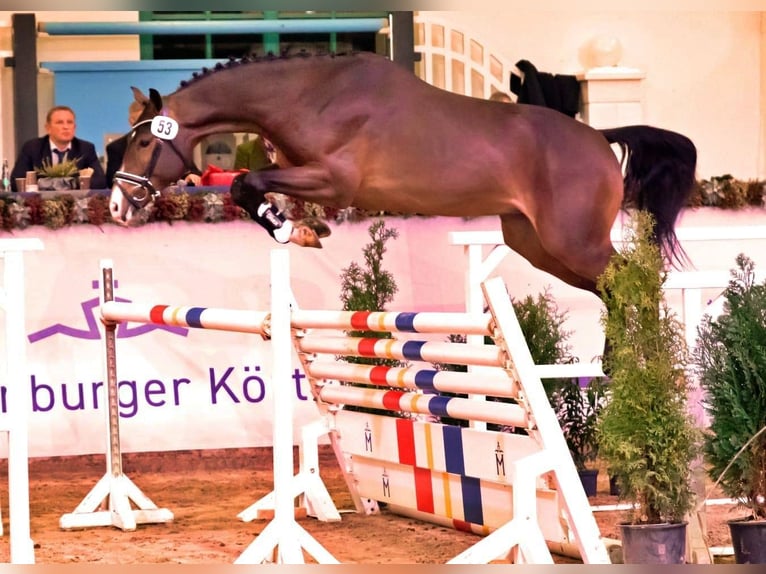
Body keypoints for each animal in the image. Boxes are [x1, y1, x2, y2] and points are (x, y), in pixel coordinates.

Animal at [111, 51, 700, 300]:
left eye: (144, 142)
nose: (117, 205)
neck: (309, 94)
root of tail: (600, 138)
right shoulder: (298, 169)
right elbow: (253, 184)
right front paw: (306, 228)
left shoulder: (335, 179)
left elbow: (244, 184)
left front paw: (292, 231)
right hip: (537, 244)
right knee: (615, 291)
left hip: (574, 241)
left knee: (634, 282)